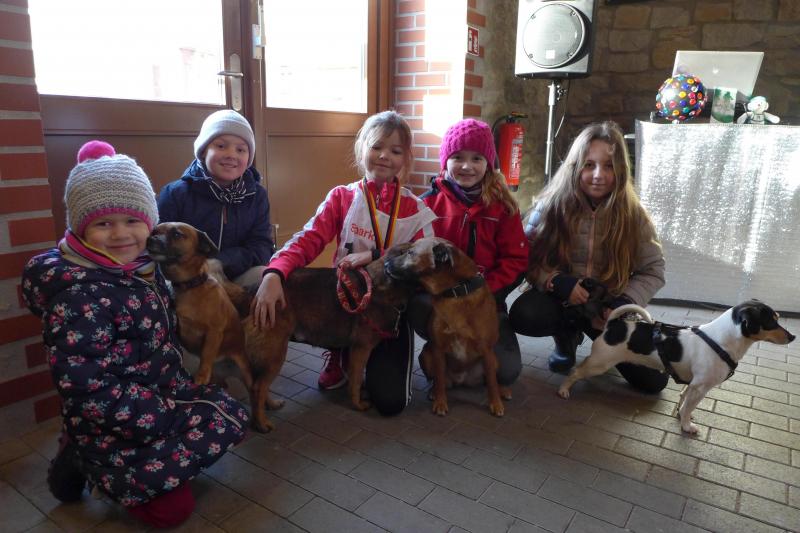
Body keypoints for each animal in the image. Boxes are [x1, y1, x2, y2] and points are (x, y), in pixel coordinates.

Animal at [385, 237, 507, 417]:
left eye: (411, 253)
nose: (386, 264)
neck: (455, 293)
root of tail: (461, 380)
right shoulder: (437, 348)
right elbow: (440, 379)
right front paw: (440, 402)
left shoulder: (486, 349)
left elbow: (492, 382)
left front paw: (495, 403)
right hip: (426, 355)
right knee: (437, 380)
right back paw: (434, 392)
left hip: (494, 360)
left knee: (490, 379)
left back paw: (502, 391)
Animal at [557, 300, 795, 433]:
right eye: (772, 322)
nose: (793, 337)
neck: (721, 341)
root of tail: (614, 324)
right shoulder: (701, 387)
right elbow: (689, 406)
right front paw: (687, 426)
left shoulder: (693, 384)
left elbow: (684, 401)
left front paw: (682, 416)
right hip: (601, 362)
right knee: (576, 371)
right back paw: (564, 390)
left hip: (599, 361)